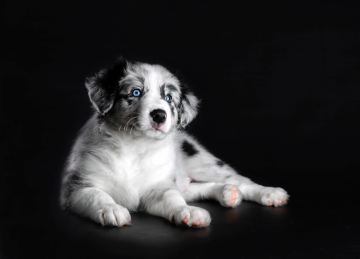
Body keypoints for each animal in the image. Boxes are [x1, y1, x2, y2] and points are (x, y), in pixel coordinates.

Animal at [59, 58, 290, 229]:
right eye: (136, 92)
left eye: (169, 98)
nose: (159, 115)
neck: (134, 146)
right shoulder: (77, 186)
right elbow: (97, 195)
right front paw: (110, 209)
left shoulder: (160, 186)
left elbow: (173, 199)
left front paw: (187, 212)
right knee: (193, 189)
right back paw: (227, 193)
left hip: (201, 161)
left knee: (240, 180)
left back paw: (268, 193)